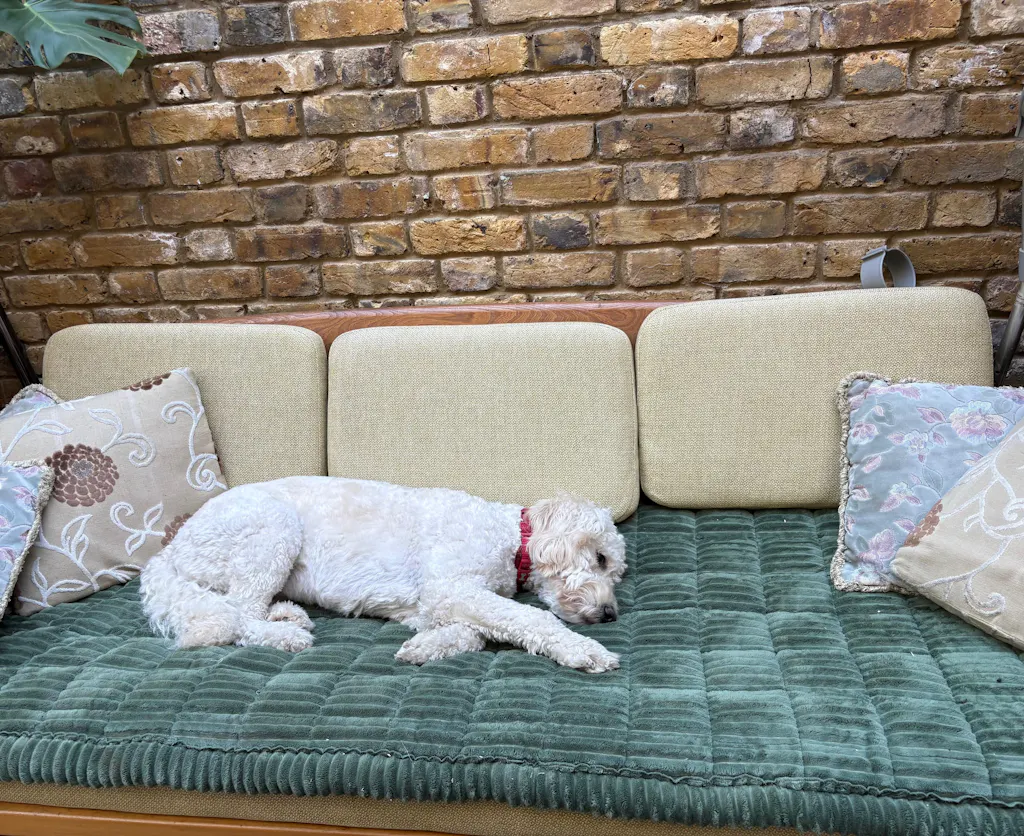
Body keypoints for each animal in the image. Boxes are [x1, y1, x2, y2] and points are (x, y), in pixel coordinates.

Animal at [140, 477, 626, 672]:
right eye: (601, 558)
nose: (610, 614)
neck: (512, 538)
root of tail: (172, 548)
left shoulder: (431, 605)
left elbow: (473, 633)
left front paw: (426, 648)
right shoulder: (448, 587)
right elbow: (528, 618)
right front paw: (585, 651)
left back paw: (285, 614)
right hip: (272, 530)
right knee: (236, 614)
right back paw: (284, 636)